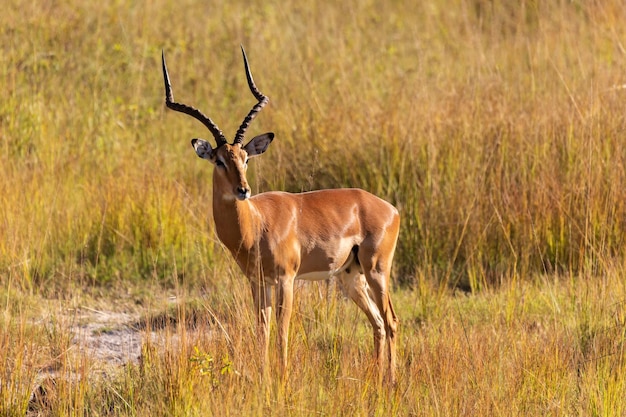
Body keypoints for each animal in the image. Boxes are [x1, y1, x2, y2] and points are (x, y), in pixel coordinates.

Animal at [161, 46, 400, 384]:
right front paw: (264, 378)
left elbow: (282, 333)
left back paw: (391, 381)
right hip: (350, 276)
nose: (243, 189)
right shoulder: (257, 282)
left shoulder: (286, 280)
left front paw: (282, 379)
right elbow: (261, 332)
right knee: (378, 322)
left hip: (377, 270)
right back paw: (376, 380)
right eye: (219, 160)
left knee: (391, 321)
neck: (256, 225)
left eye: (245, 157)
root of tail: (388, 208)